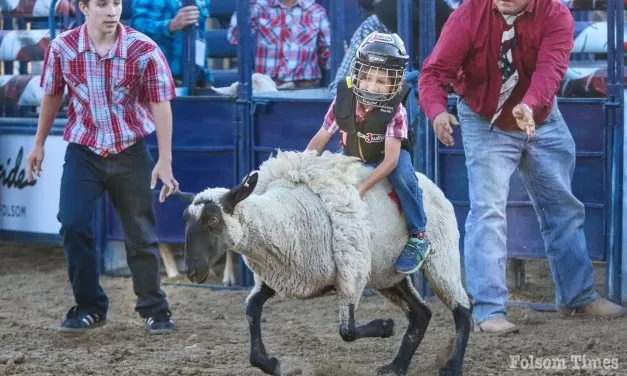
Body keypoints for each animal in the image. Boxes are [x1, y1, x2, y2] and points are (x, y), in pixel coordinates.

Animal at [164, 151, 474, 376]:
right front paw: (272, 364)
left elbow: (347, 331)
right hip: (387, 274)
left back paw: (452, 367)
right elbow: (251, 310)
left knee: (462, 309)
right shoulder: (280, 275)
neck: (284, 217)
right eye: (185, 220)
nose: (192, 271)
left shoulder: (350, 275)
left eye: (213, 219)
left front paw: (385, 326)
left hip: (440, 256)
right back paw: (396, 367)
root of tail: (428, 182)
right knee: (421, 314)